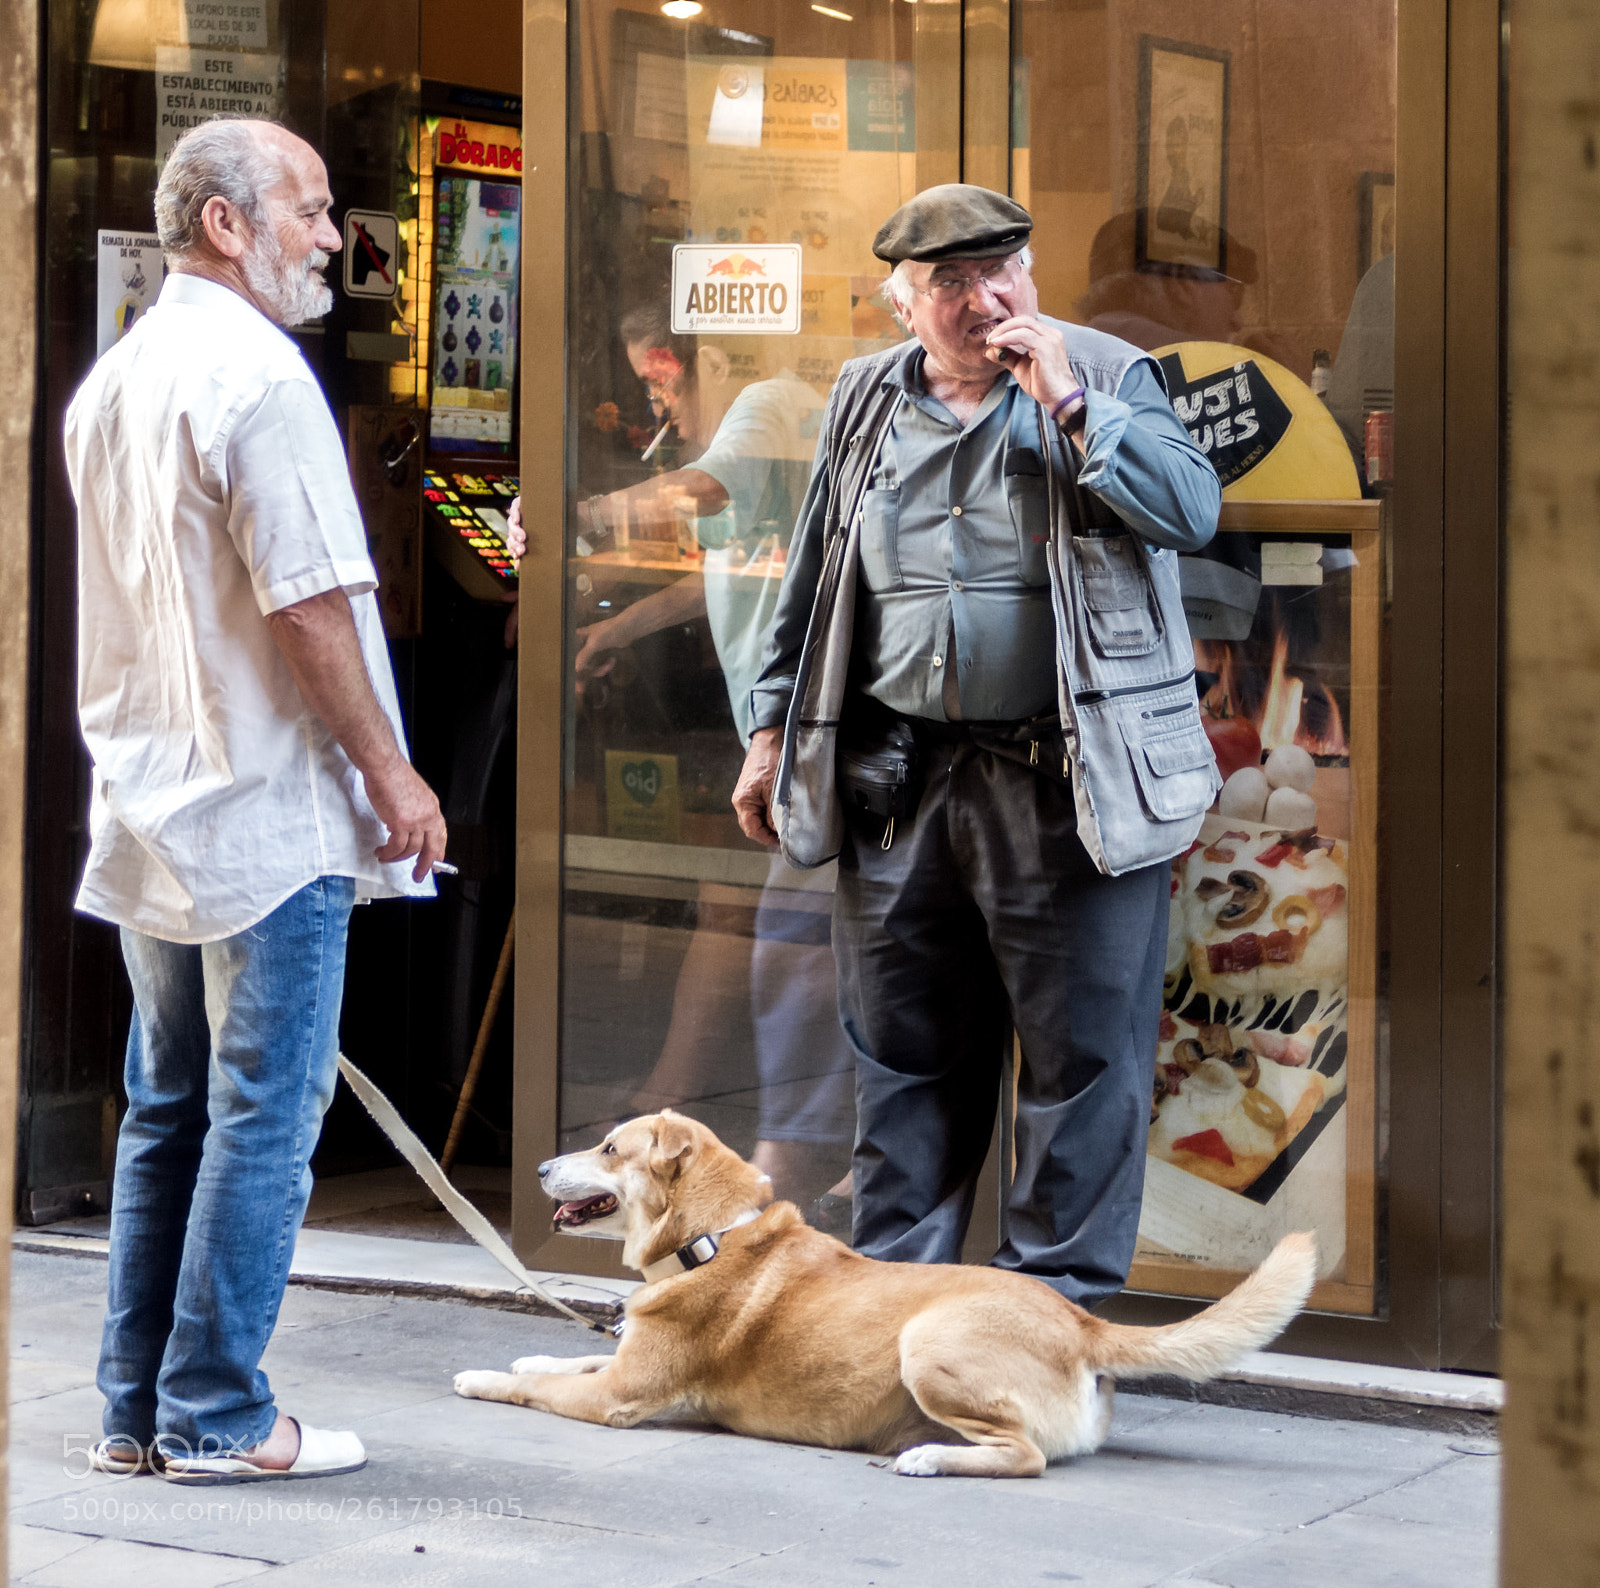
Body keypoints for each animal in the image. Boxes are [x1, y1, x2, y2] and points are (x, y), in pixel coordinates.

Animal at [451, 1114, 1312, 1479]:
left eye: (607, 1148)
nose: (535, 1169)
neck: (713, 1239)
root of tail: (1080, 1321)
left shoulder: (620, 1398)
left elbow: (542, 1387)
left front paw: (483, 1376)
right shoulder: (626, 1366)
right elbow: (565, 1360)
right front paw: (533, 1353)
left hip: (928, 1346)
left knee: (1028, 1457)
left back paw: (928, 1458)